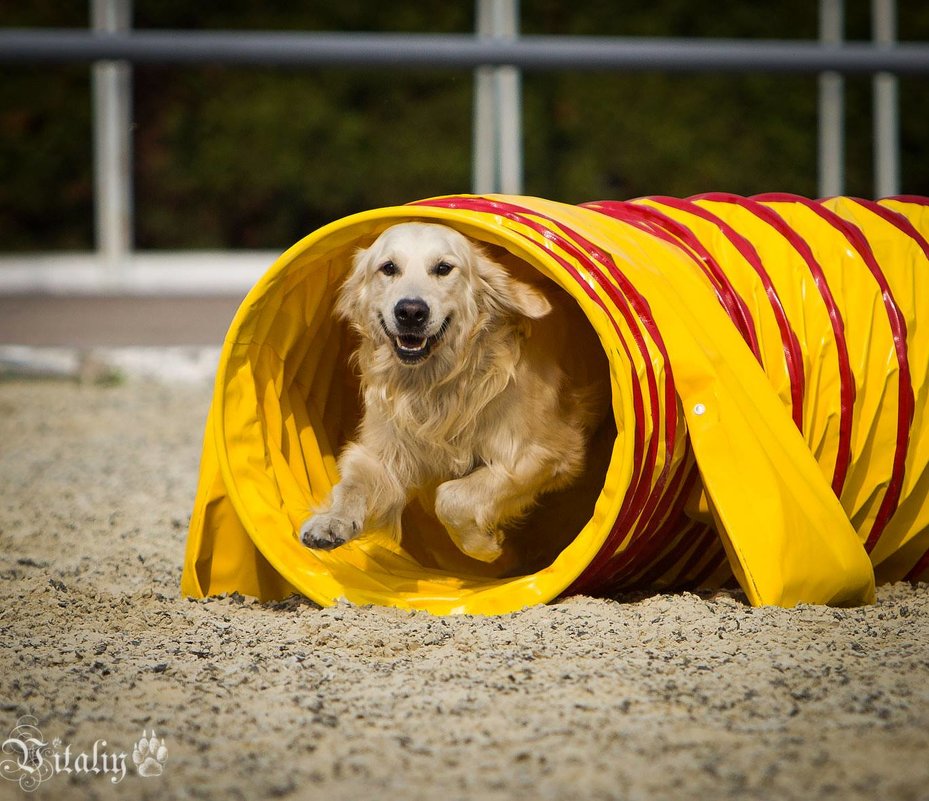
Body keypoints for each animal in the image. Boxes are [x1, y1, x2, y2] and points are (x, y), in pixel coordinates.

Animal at [300, 220, 604, 564]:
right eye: (388, 268)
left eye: (443, 268)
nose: (411, 311)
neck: (435, 385)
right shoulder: (383, 451)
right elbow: (353, 484)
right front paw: (329, 522)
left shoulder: (545, 451)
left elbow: (450, 497)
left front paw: (484, 547)